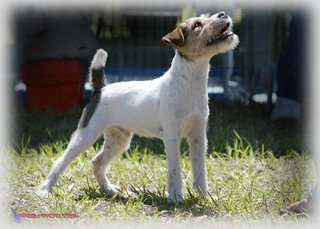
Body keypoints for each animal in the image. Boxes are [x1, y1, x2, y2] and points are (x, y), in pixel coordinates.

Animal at [38, 12, 238, 202]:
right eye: (197, 25)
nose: (222, 14)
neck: (190, 82)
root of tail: (100, 89)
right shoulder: (172, 136)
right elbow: (175, 170)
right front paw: (175, 198)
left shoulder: (198, 136)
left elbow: (200, 170)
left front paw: (205, 196)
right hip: (85, 135)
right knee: (61, 161)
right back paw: (45, 189)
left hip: (119, 139)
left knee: (97, 162)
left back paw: (109, 190)